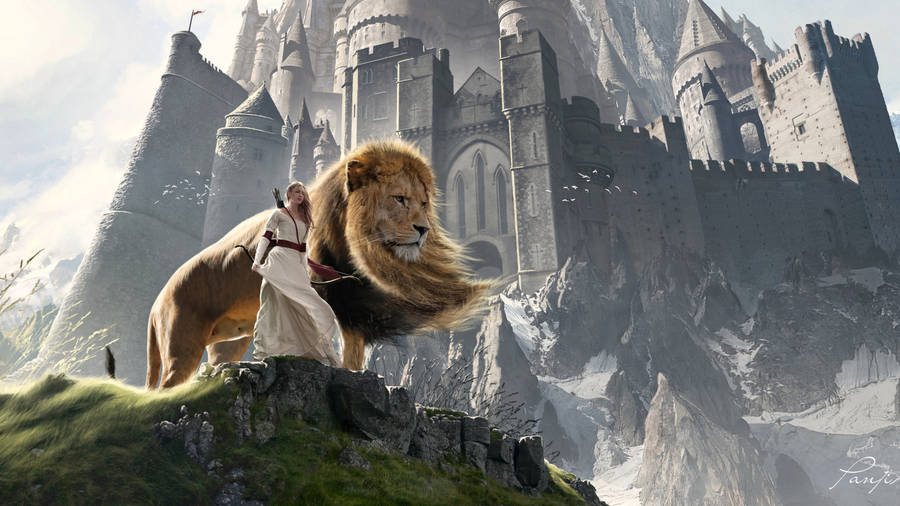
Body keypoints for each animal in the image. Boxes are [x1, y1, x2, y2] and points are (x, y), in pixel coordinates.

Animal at [146, 139, 494, 389]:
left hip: (229, 343)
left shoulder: (353, 309)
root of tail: (156, 301)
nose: (424, 230)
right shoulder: (330, 298)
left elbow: (353, 355)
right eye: (399, 198)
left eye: (423, 203)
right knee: (165, 387)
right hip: (182, 346)